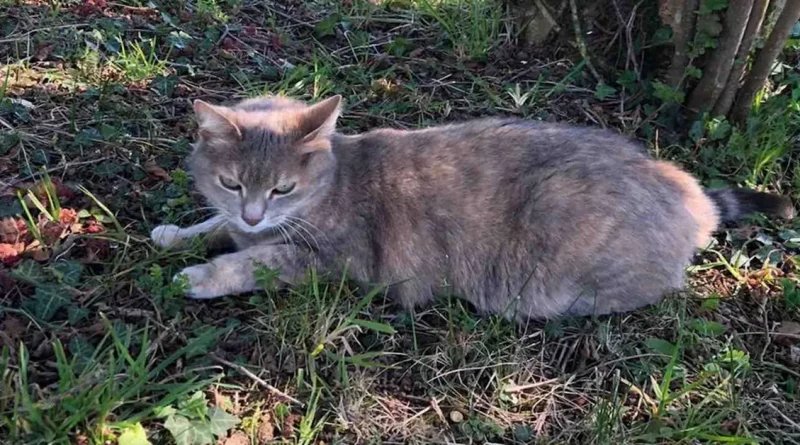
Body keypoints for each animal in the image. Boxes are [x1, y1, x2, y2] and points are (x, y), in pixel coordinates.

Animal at [150, 95, 792, 320]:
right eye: (232, 183)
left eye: (281, 189)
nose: (254, 215)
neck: (333, 183)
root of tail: (685, 190)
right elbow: (212, 226)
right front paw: (177, 234)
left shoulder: (330, 262)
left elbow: (252, 263)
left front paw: (202, 275)